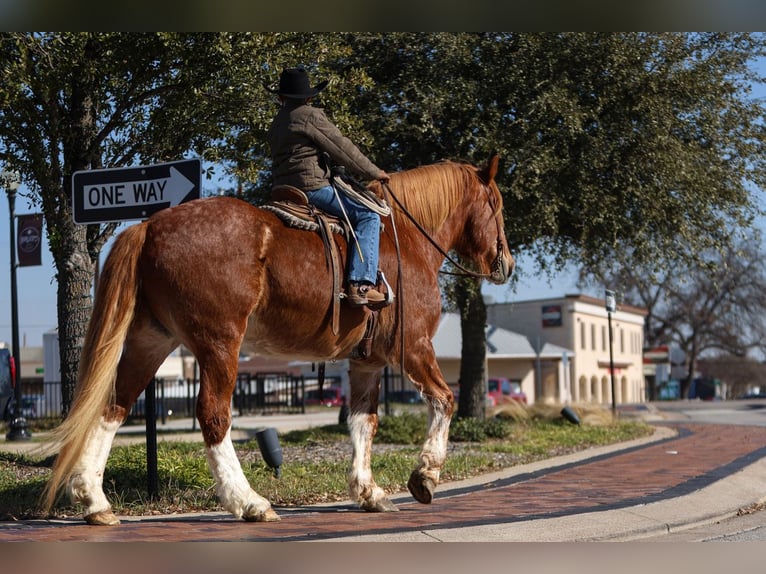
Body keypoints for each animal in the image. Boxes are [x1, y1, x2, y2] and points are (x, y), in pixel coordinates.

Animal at [40, 153, 510, 528]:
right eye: (497, 204)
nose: (505, 262)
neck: (407, 241)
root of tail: (150, 226)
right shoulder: (413, 348)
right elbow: (444, 400)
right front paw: (425, 477)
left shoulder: (367, 362)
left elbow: (364, 422)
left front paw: (368, 492)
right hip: (219, 344)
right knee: (213, 416)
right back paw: (248, 501)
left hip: (150, 341)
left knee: (114, 407)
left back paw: (94, 501)